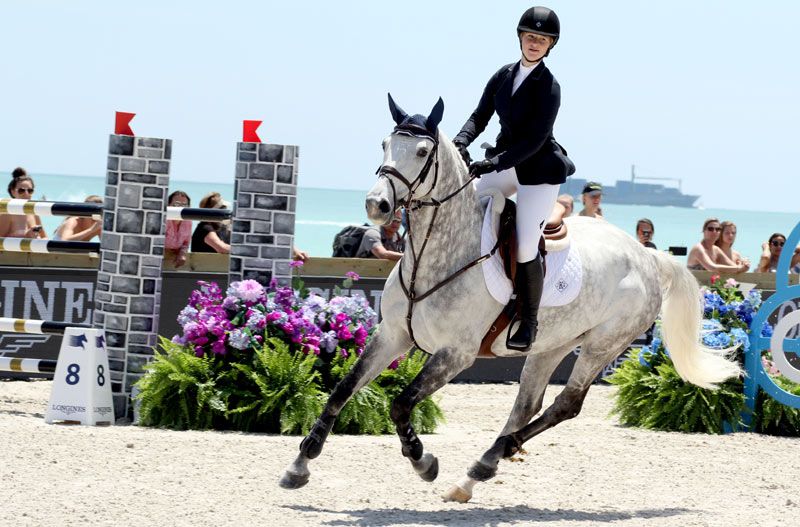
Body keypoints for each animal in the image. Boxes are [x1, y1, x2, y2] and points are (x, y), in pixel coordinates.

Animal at [280, 98, 736, 504]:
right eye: (384, 144)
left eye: (423, 152)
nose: (377, 205)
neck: (435, 254)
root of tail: (648, 256)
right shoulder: (393, 335)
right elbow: (343, 389)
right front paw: (299, 465)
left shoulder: (456, 353)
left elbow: (401, 403)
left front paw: (423, 460)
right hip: (551, 343)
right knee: (527, 404)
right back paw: (475, 475)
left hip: (603, 344)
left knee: (565, 404)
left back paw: (492, 458)